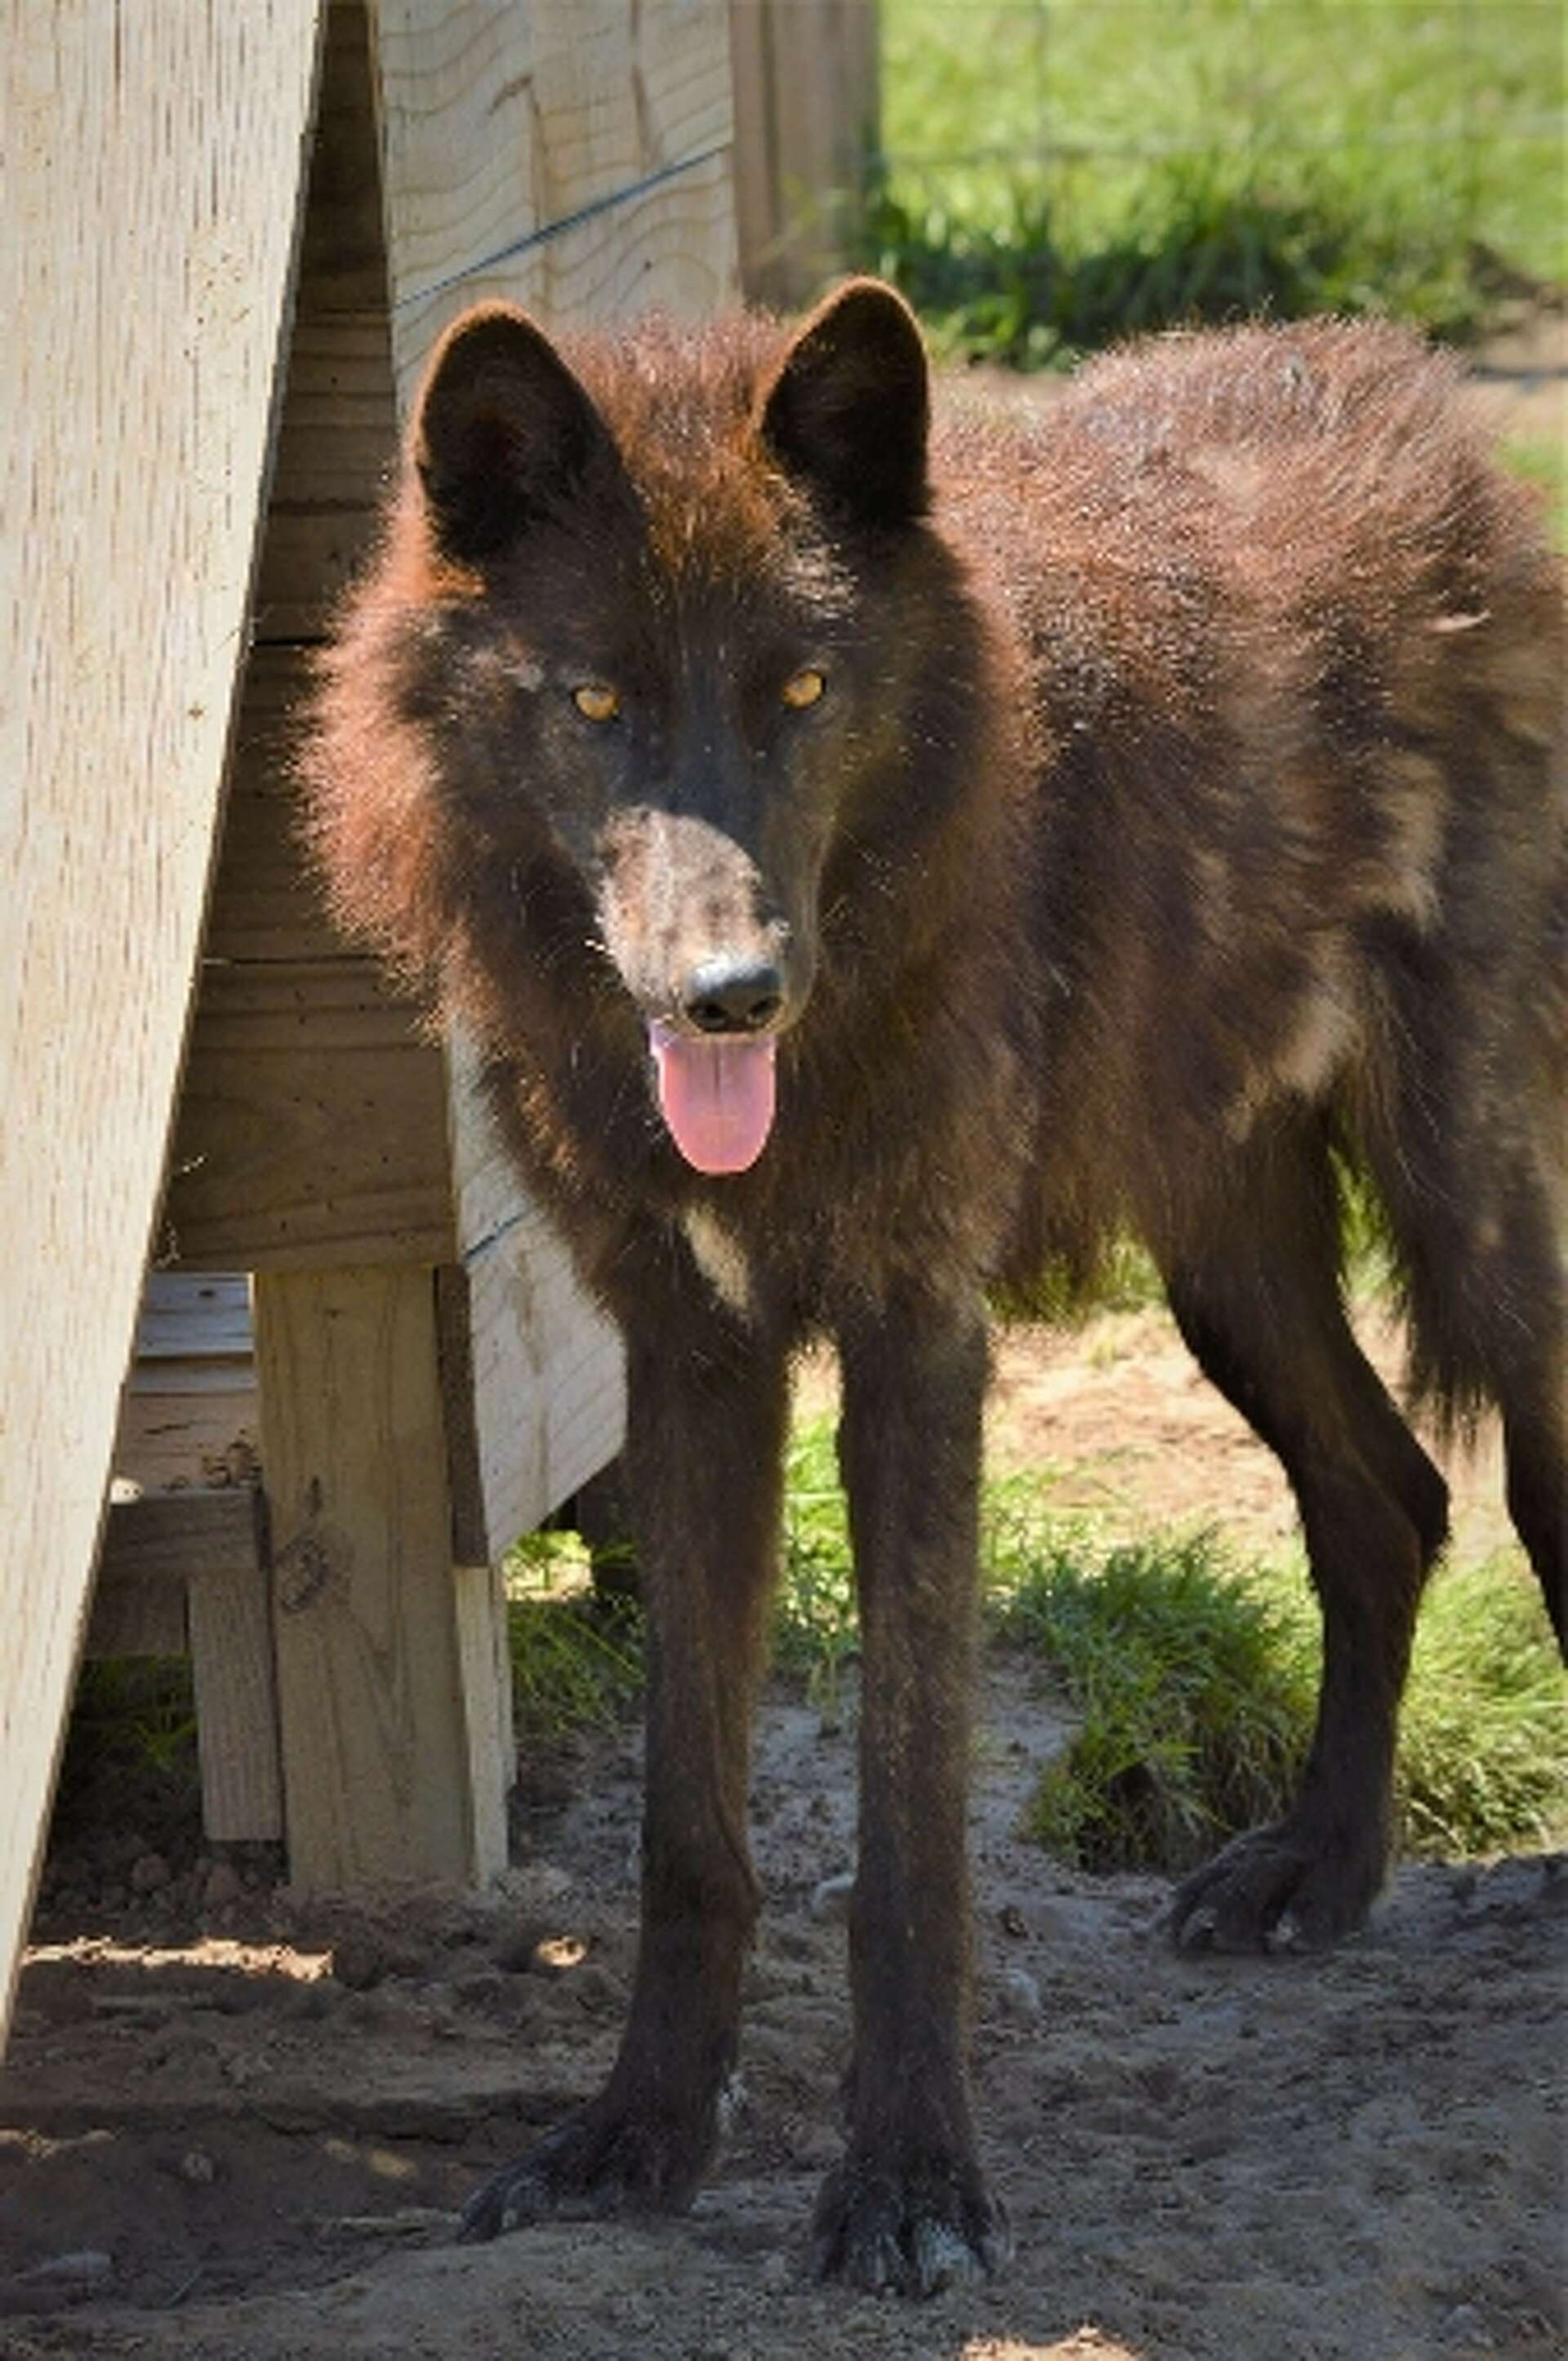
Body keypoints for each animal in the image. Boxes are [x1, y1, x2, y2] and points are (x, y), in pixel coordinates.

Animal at [301, 280, 1565, 2295]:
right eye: (596, 701)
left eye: (804, 694)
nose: (729, 994)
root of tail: (1410, 396)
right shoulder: (697, 1365)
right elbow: (686, 1826)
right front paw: (637, 2138)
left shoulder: (917, 1354)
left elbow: (909, 1840)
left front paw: (907, 2179)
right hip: (1228, 1269)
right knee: (1388, 1497)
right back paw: (1322, 1866)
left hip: (1471, 1216)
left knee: (1517, 1486)